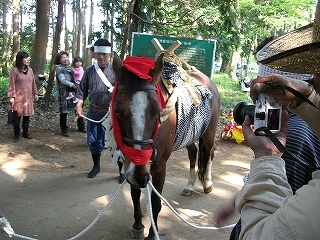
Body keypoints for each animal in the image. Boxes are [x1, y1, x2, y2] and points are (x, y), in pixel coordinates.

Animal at [110, 53, 220, 240]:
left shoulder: (160, 166)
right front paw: (138, 225)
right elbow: (134, 194)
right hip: (188, 135)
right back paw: (189, 185)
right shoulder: (131, 165)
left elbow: (155, 201)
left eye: (157, 112)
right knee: (193, 153)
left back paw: (207, 183)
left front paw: (152, 234)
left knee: (210, 152)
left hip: (209, 133)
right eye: (117, 111)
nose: (140, 175)